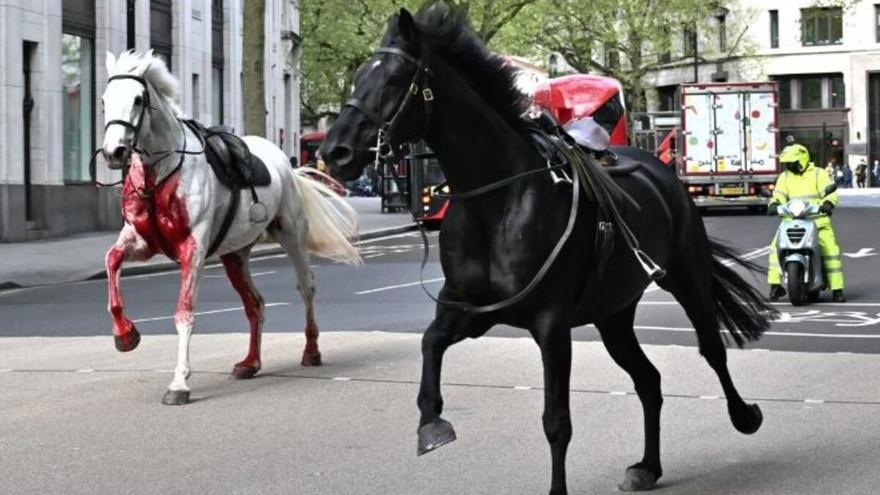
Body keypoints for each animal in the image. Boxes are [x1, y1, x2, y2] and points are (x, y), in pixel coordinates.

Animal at [96, 51, 358, 406]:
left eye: (138, 99)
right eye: (104, 99)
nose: (114, 152)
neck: (160, 173)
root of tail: (284, 163)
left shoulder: (192, 249)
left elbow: (184, 313)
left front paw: (179, 383)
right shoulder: (141, 242)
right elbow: (111, 261)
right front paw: (125, 335)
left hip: (292, 236)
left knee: (307, 289)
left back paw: (311, 350)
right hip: (235, 254)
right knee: (255, 303)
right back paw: (250, 363)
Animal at [320, 4, 772, 495]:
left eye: (394, 79)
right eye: (358, 76)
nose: (334, 151)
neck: (495, 201)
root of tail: (660, 169)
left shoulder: (550, 324)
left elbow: (557, 420)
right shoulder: (470, 310)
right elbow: (430, 344)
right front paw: (431, 424)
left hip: (686, 277)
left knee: (712, 349)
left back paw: (744, 415)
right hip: (613, 314)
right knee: (648, 380)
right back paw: (647, 467)